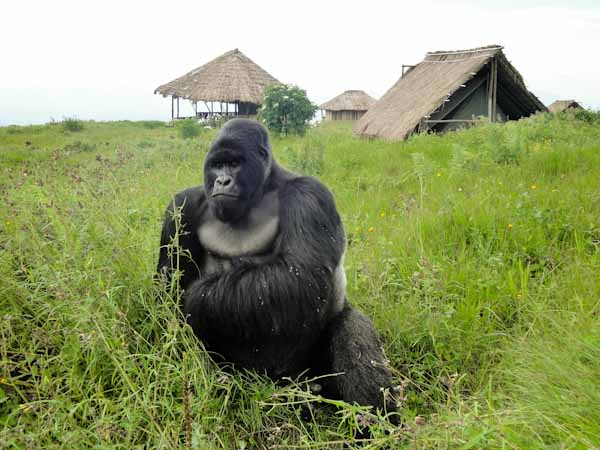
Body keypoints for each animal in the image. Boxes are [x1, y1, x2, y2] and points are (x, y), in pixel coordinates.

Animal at [157, 118, 396, 414]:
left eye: (234, 164)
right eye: (217, 165)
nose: (222, 180)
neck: (264, 186)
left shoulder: (309, 194)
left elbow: (301, 275)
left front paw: (196, 299)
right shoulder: (181, 205)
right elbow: (167, 289)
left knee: (353, 331)